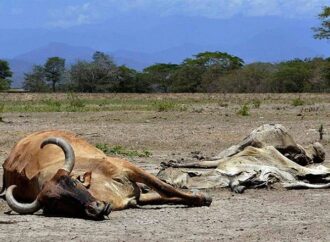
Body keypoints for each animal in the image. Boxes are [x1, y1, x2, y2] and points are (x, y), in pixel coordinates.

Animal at [0, 130, 211, 219]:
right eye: (54, 203)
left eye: (73, 183)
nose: (97, 208)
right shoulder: (134, 199)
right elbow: (162, 195)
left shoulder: (128, 167)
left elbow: (164, 188)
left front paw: (203, 198)